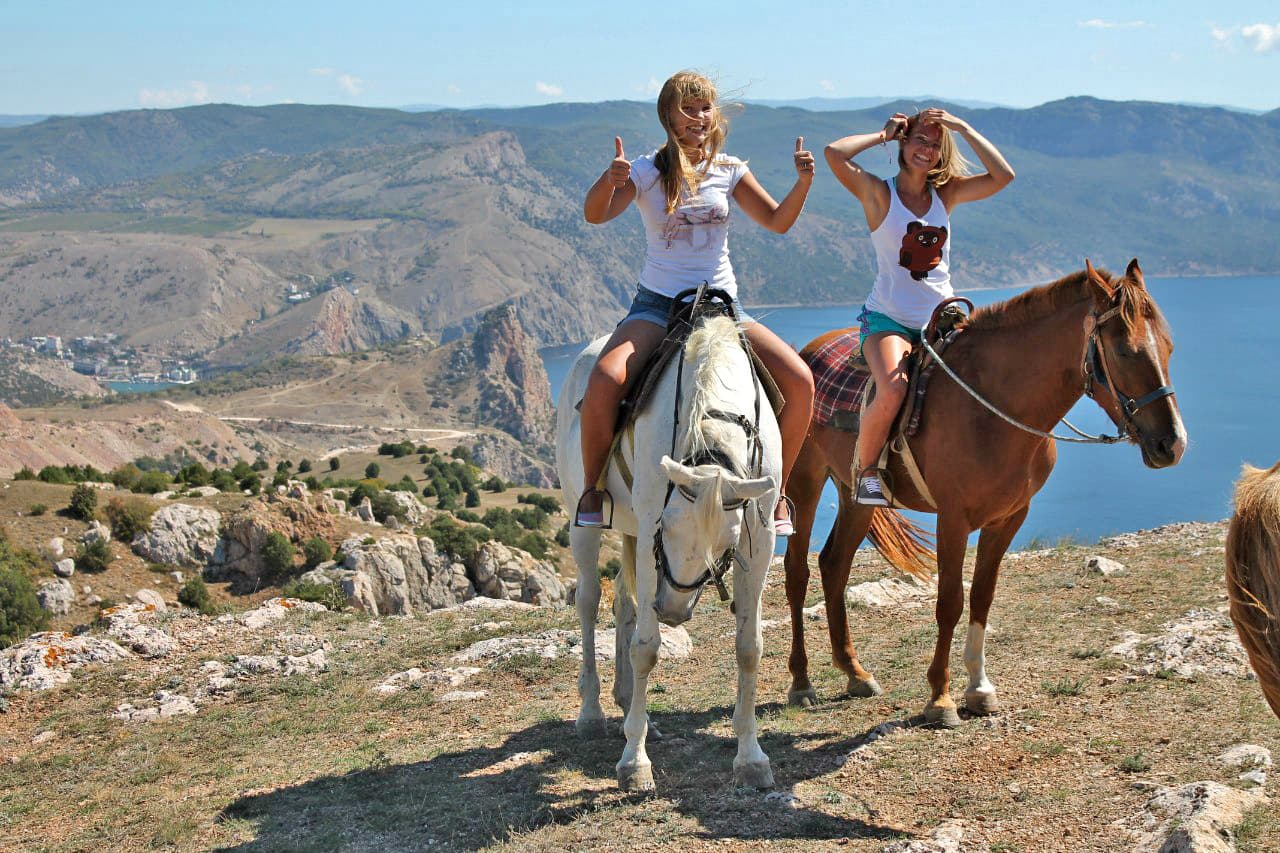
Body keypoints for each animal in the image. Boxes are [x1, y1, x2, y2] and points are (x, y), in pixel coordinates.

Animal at [556, 311, 780, 791]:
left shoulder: (761, 537)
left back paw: (628, 705)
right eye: (667, 524)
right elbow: (646, 646)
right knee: (589, 602)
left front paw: (751, 757)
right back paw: (592, 713)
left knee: (623, 602)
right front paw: (634, 762)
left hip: (627, 533)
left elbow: (749, 646)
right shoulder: (647, 533)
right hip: (583, 522)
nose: (674, 610)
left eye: (729, 543)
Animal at [784, 259, 1187, 725]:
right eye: (1125, 351)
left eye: (1169, 347)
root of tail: (806, 353)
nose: (1172, 444)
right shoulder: (953, 518)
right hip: (804, 484)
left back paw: (855, 673)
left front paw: (978, 689)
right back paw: (801, 682)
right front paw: (940, 698)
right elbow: (949, 602)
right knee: (797, 573)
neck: (993, 406)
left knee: (834, 565)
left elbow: (982, 597)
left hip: (856, 497)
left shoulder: (1008, 517)